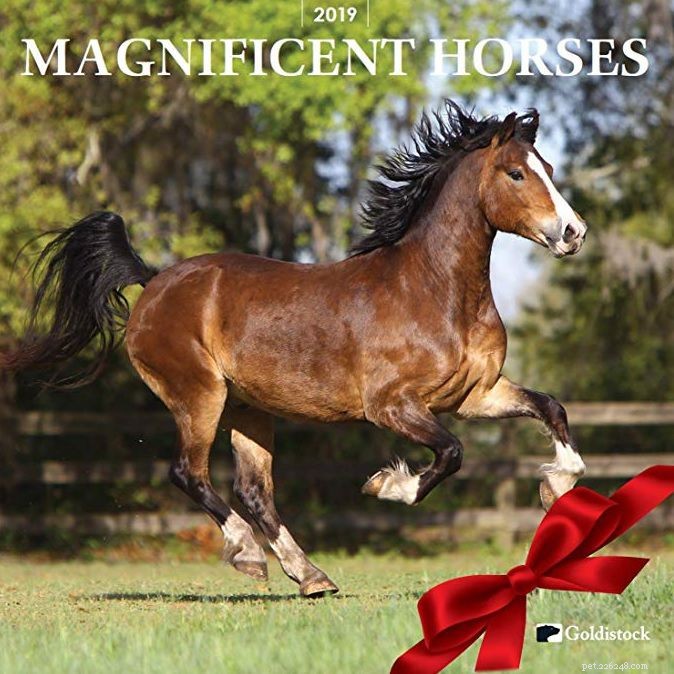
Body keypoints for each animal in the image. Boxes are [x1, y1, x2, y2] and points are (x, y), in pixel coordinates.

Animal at [3, 100, 588, 597]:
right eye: (516, 173)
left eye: (549, 167)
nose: (573, 232)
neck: (434, 289)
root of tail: (153, 282)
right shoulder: (392, 406)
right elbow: (450, 454)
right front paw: (385, 486)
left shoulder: (475, 396)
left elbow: (551, 408)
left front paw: (556, 490)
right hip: (199, 396)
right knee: (189, 473)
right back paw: (248, 555)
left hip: (247, 409)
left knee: (255, 490)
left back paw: (310, 575)